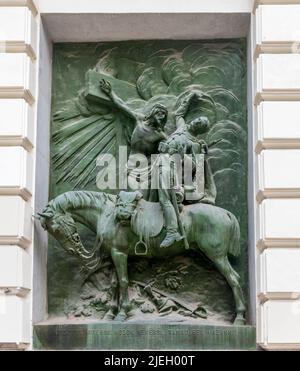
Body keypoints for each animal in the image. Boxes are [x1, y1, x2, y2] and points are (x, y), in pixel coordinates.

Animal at [37, 192, 246, 326]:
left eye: (55, 228)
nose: (74, 250)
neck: (107, 213)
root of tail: (225, 213)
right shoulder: (114, 255)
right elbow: (114, 284)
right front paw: (110, 314)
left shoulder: (119, 254)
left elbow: (123, 282)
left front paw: (123, 313)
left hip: (217, 255)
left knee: (233, 280)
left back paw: (240, 318)